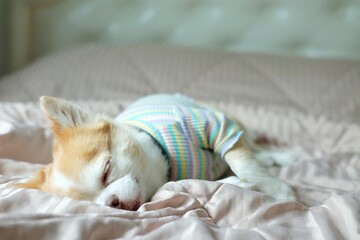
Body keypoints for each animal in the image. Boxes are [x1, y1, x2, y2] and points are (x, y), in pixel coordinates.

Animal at [15, 94, 296, 211]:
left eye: (107, 170)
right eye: (90, 204)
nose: (111, 203)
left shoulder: (216, 125)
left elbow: (243, 163)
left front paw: (279, 191)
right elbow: (198, 184)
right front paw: (236, 183)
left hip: (226, 118)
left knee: (252, 146)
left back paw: (281, 157)